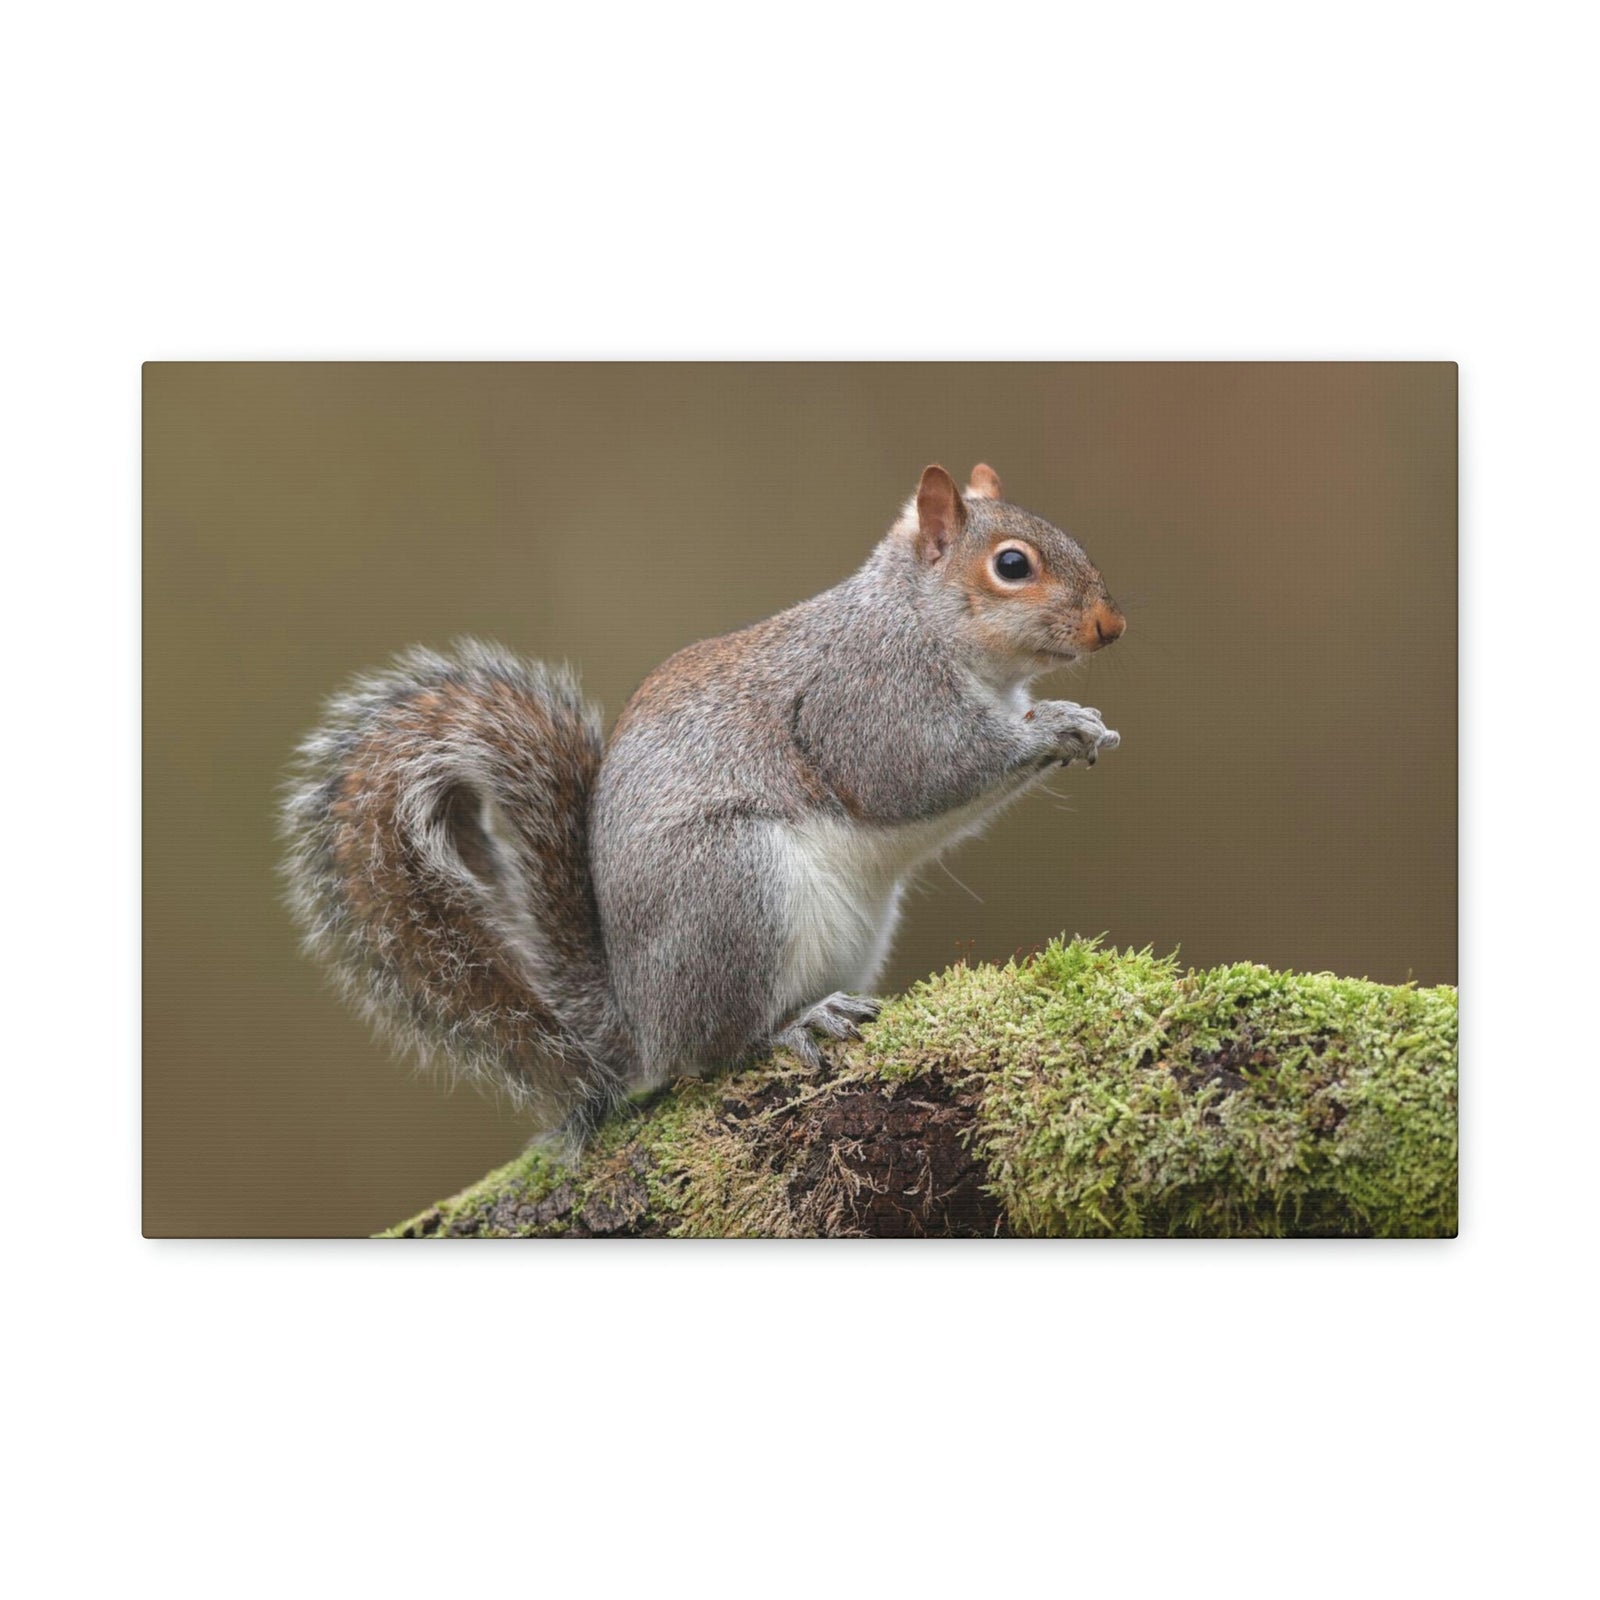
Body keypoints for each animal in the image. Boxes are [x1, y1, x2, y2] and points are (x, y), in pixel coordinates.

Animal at [281, 463, 1126, 1139]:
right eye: (1012, 565)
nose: (1111, 626)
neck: (918, 618)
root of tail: (638, 1021)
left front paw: (1081, 723)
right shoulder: (863, 698)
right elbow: (914, 774)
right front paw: (1053, 725)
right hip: (733, 891)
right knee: (717, 1048)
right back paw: (794, 1023)